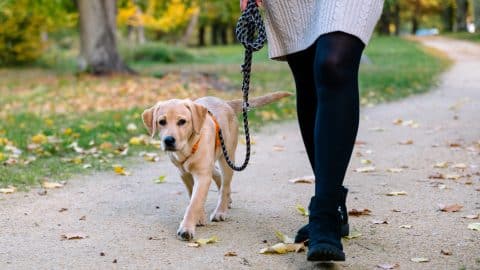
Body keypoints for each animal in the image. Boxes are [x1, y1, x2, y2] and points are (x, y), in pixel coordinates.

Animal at [142, 91, 290, 240]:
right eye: (161, 122)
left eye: (182, 121)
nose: (168, 140)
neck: (188, 147)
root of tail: (225, 103)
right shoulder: (184, 174)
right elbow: (193, 197)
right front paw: (199, 217)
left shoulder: (202, 175)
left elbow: (194, 202)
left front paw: (186, 228)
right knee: (219, 177)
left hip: (227, 157)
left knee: (225, 185)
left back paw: (220, 211)